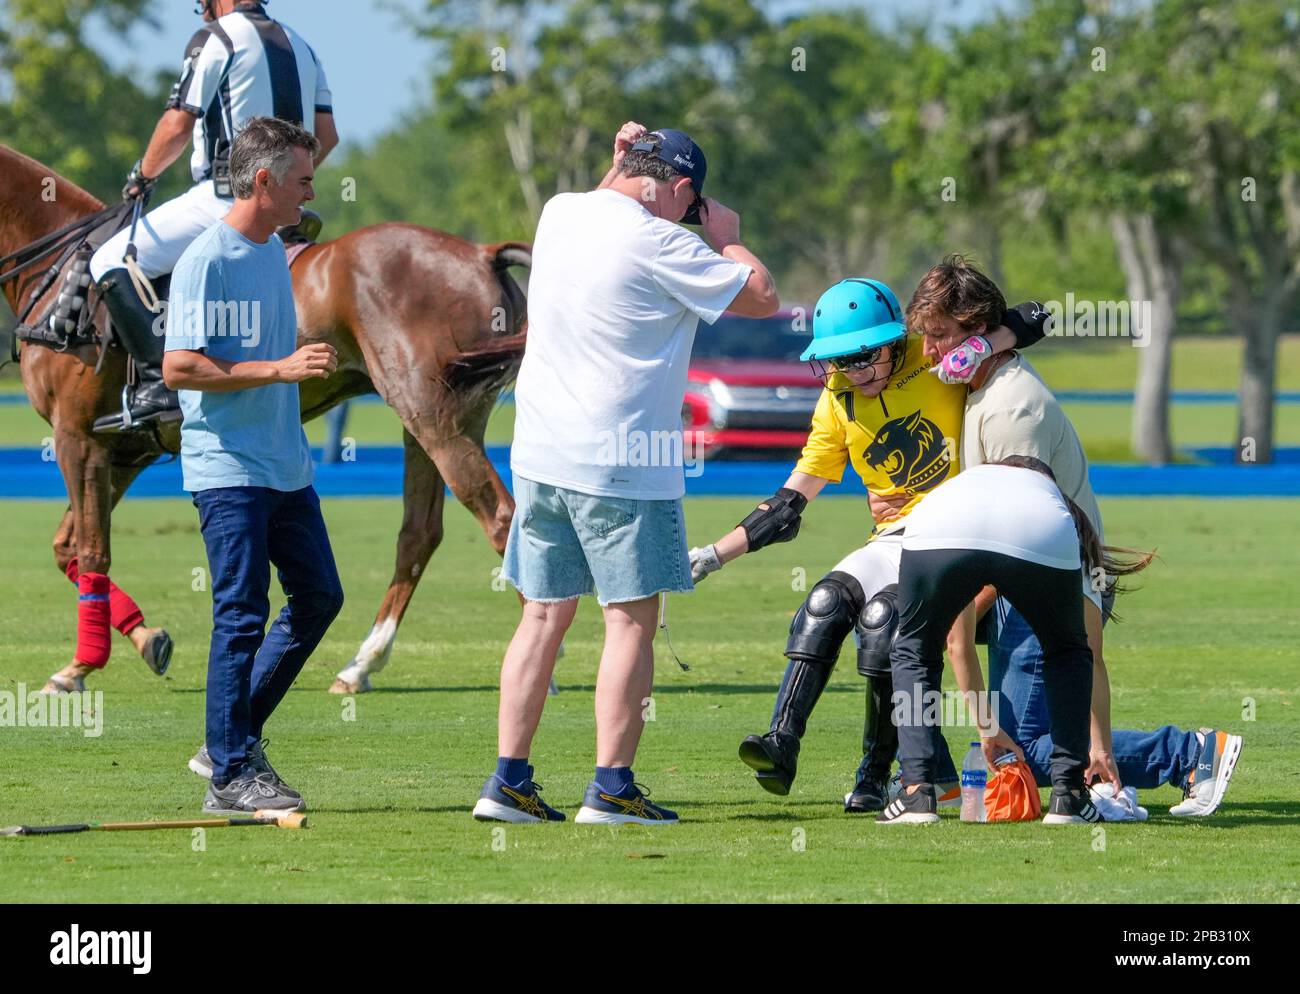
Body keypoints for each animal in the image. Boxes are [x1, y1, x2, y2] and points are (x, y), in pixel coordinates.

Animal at [2, 143, 527, 696]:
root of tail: (483, 253)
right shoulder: (121, 451)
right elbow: (69, 548)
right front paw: (142, 643)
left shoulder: (75, 437)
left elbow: (91, 551)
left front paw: (81, 666)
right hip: (427, 418)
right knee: (419, 532)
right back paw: (361, 664)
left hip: (433, 416)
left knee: (500, 518)